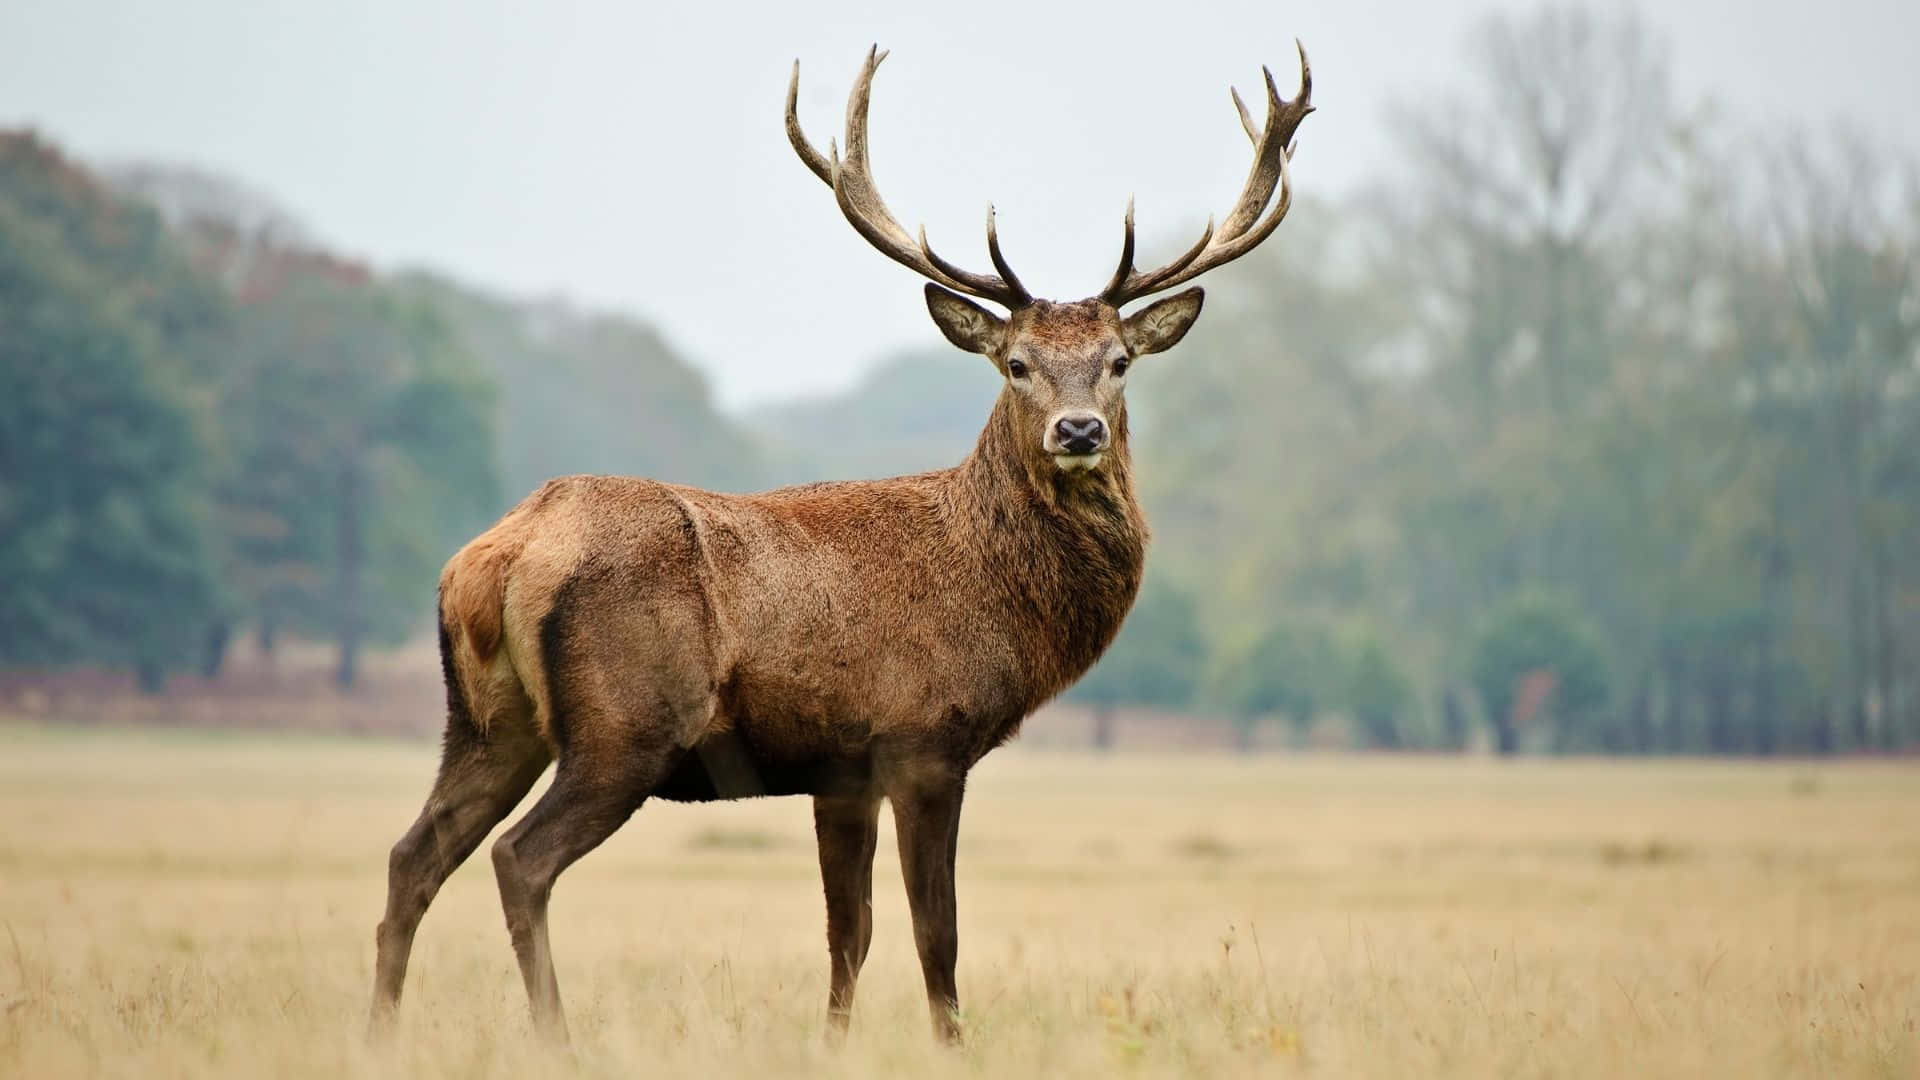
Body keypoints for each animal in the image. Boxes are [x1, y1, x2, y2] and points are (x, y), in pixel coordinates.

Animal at [367, 43, 1313, 1046]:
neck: (995, 594)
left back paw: (380, 1033)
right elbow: (936, 934)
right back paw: (558, 1038)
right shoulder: (923, 738)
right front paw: (953, 1048)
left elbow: (847, 935)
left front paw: (833, 1044)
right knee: (520, 859)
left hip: (487, 721)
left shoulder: (840, 770)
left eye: (1120, 362)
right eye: (1015, 363)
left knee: (412, 855)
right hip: (624, 725)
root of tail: (496, 557)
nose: (1080, 430)